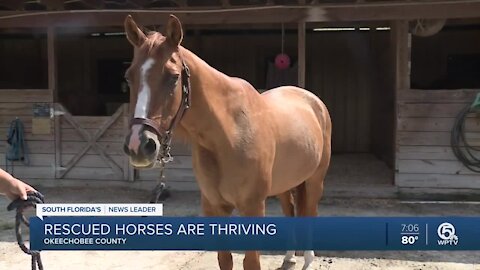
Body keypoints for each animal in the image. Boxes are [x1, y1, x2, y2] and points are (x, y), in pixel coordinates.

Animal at [124, 14, 332, 270]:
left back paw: (308, 259)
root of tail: (313, 101)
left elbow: (251, 262)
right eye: (129, 76)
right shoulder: (214, 206)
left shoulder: (253, 206)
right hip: (286, 183)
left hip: (314, 180)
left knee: (310, 209)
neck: (228, 135)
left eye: (173, 77)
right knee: (290, 209)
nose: (138, 145)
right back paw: (289, 257)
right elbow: (225, 259)